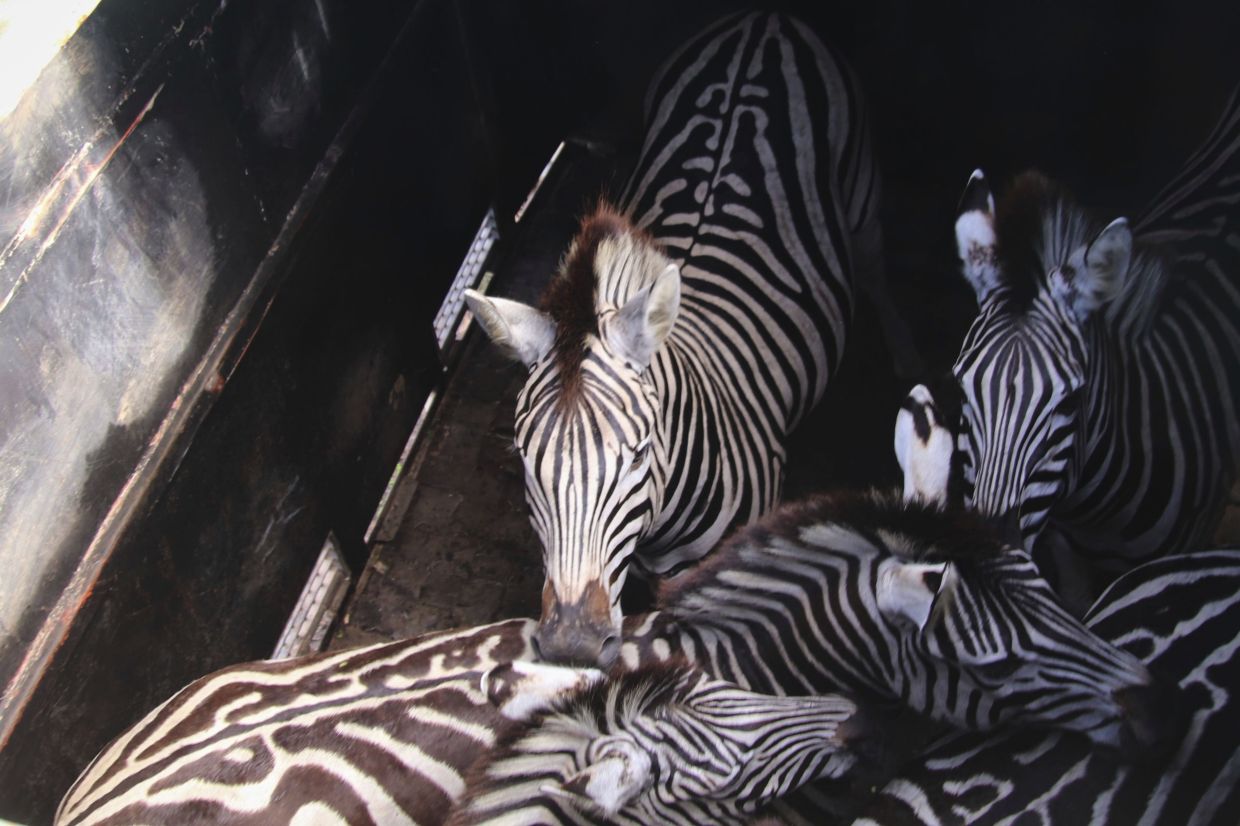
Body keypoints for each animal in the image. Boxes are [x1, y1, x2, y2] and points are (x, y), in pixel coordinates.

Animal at [463, 10, 914, 666]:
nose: (572, 646)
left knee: (876, 267)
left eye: (639, 453)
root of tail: (765, 23)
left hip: (860, 192)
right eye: (525, 460)